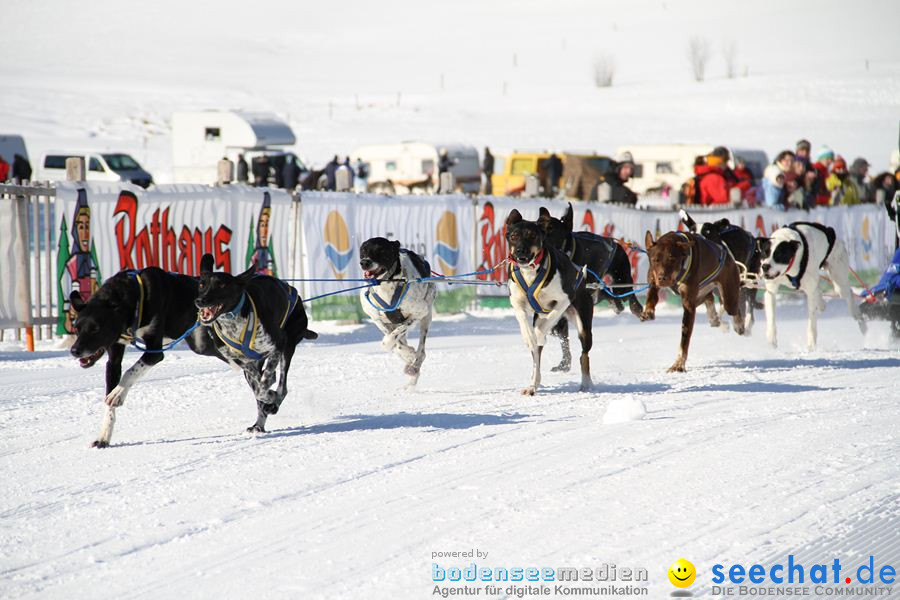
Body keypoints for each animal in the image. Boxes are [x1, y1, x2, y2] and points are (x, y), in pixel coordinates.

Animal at [68, 268, 225, 446]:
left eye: (95, 328)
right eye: (76, 328)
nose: (74, 350)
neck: (136, 301)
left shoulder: (154, 352)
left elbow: (130, 372)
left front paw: (118, 393)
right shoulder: (114, 358)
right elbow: (110, 399)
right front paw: (103, 437)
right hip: (201, 345)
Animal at [194, 255, 316, 434]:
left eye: (221, 285)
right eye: (202, 284)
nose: (200, 300)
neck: (233, 322)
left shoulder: (278, 346)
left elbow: (264, 386)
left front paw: (271, 396)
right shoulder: (244, 363)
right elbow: (259, 389)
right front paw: (268, 398)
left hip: (288, 348)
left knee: (282, 386)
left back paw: (273, 403)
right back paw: (259, 424)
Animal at [358, 237, 436, 386]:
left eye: (381, 250)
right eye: (363, 250)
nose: (364, 262)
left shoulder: (418, 313)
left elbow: (392, 338)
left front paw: (391, 345)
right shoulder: (377, 319)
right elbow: (396, 343)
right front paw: (407, 353)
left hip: (426, 317)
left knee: (421, 352)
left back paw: (414, 370)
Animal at [502, 209, 596, 396]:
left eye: (532, 235)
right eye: (514, 236)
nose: (520, 251)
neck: (530, 272)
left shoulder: (564, 299)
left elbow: (548, 320)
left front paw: (538, 333)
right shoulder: (516, 301)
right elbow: (523, 319)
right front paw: (529, 335)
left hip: (583, 326)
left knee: (584, 355)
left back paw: (586, 383)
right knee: (536, 361)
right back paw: (532, 385)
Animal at [536, 204, 644, 372]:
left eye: (550, 228)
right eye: (535, 224)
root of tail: (616, 243)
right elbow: (562, 335)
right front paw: (565, 364)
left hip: (620, 282)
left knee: (626, 295)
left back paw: (636, 307)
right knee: (607, 295)